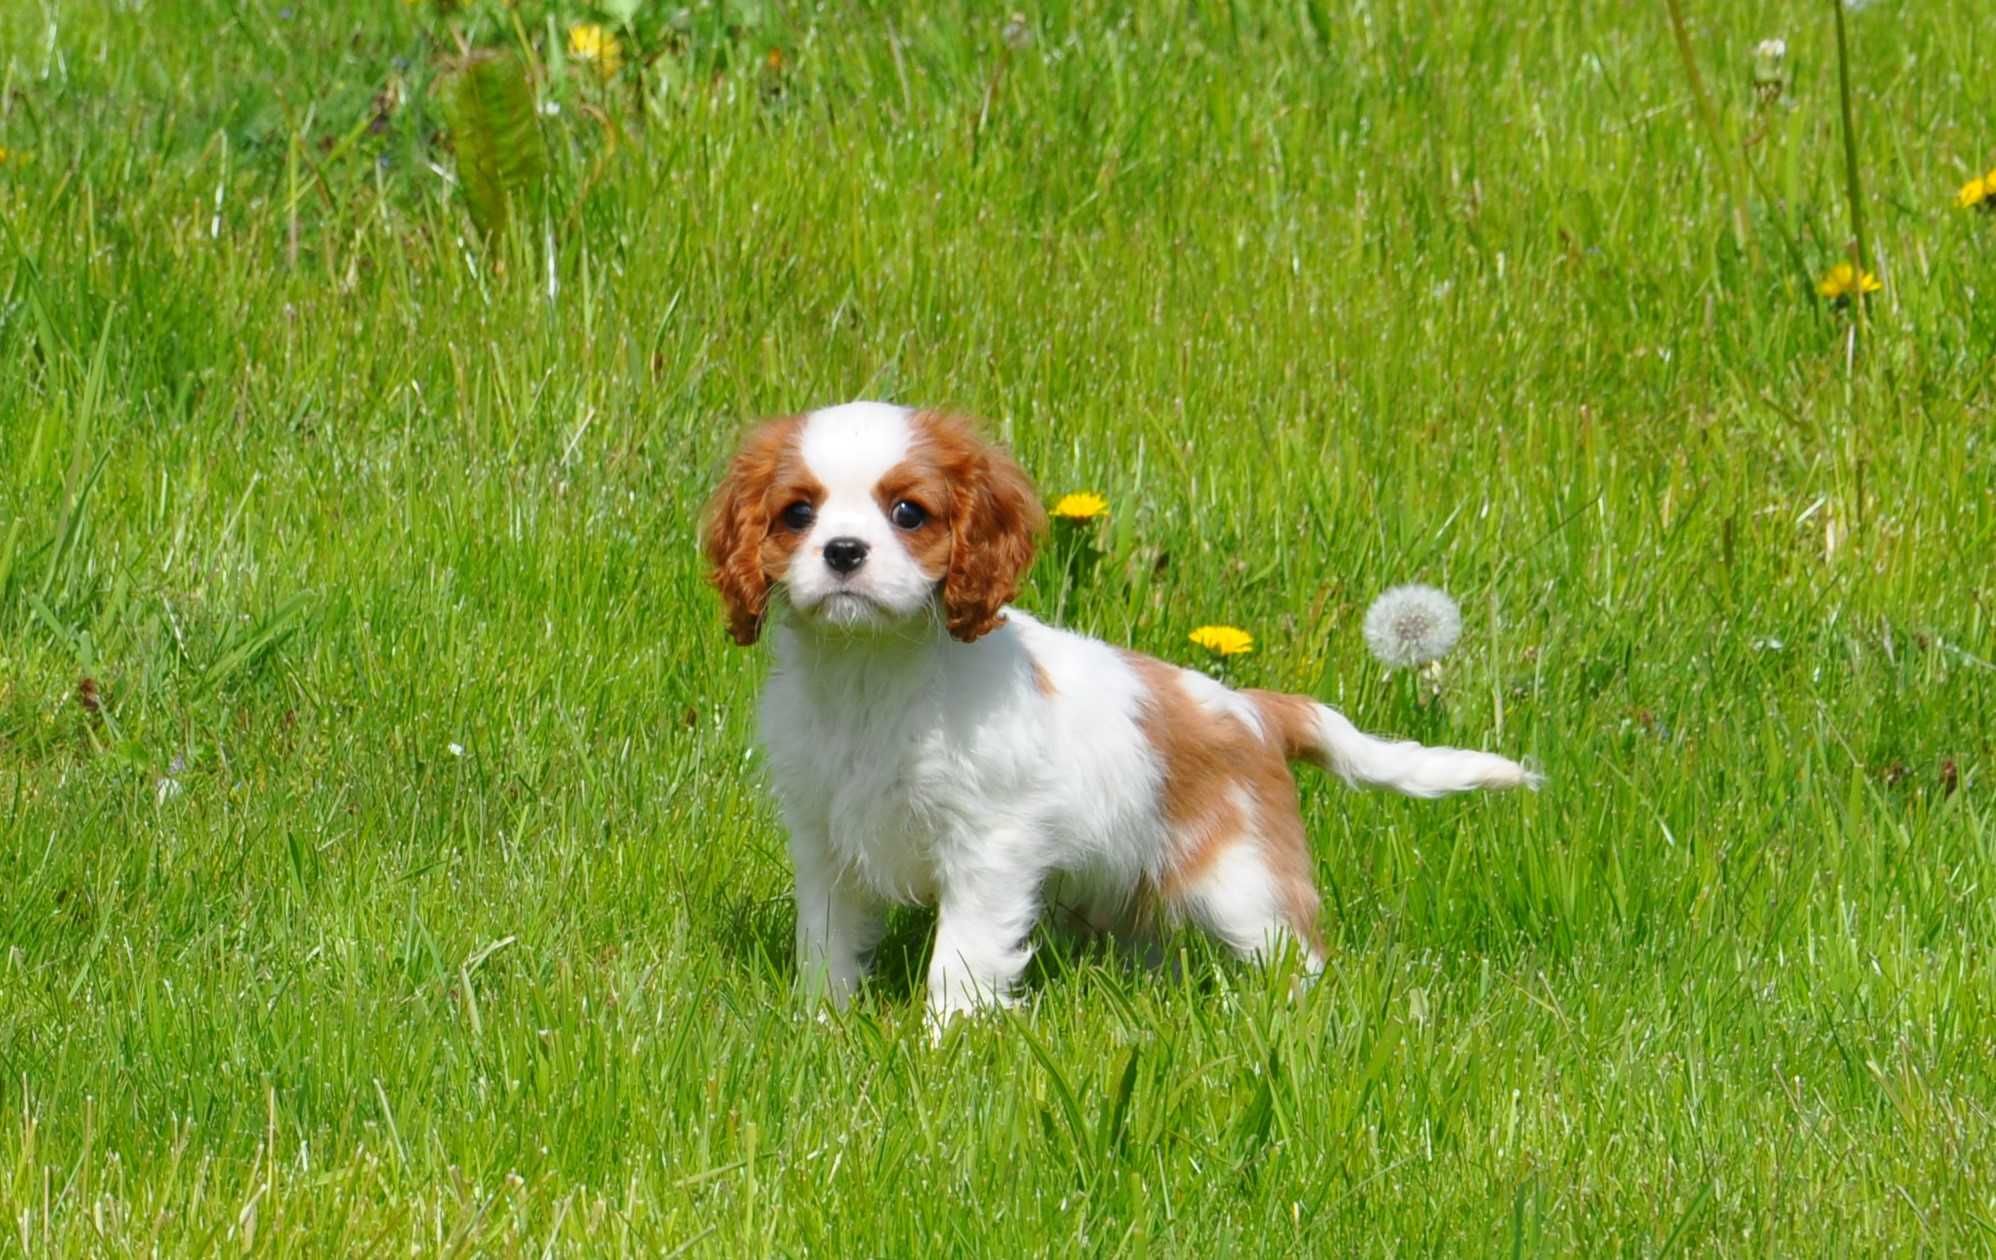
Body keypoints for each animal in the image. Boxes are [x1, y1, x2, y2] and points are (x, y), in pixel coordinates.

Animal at [706, 403, 1540, 1022]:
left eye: (908, 512)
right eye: (798, 514)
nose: (843, 551)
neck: (869, 671)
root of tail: (1253, 708)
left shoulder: (988, 849)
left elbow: (961, 960)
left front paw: (944, 1046)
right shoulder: (825, 842)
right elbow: (828, 944)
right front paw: (822, 1027)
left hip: (1243, 880)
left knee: (1296, 956)